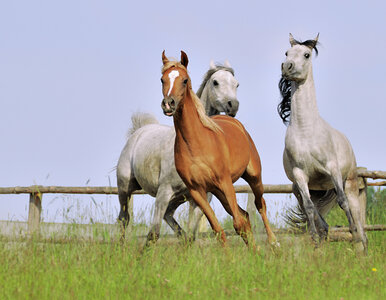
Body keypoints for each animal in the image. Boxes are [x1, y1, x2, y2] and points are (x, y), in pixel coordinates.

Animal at [116, 59, 240, 246]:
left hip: (177, 199)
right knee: (124, 219)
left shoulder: (199, 198)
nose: (232, 105)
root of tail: (138, 132)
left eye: (236, 84)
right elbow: (153, 234)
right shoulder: (163, 193)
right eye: (215, 82)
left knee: (169, 217)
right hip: (125, 189)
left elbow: (192, 235)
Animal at [160, 51, 278, 248]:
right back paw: (255, 250)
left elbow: (237, 224)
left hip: (253, 177)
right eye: (162, 79)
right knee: (246, 215)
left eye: (184, 80)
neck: (196, 144)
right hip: (217, 191)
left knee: (260, 204)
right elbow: (218, 229)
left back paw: (273, 242)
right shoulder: (197, 191)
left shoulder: (225, 182)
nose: (169, 104)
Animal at [278, 33, 368, 253]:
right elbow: (310, 207)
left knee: (358, 219)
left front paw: (353, 234)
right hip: (303, 188)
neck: (306, 131)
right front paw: (315, 241)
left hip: (349, 183)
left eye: (307, 54)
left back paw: (360, 244)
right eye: (287, 52)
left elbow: (343, 203)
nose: (287, 67)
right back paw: (324, 236)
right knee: (318, 216)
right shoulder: (300, 176)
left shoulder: (332, 170)